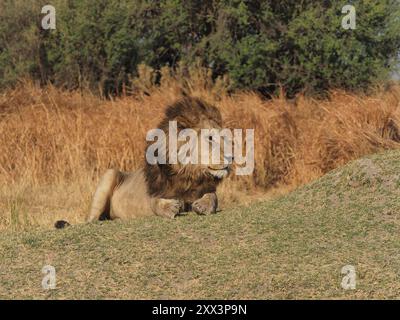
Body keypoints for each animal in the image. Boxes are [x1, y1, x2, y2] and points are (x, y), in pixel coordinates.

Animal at [55, 96, 233, 229]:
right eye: (210, 138)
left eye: (224, 137)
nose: (231, 157)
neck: (189, 172)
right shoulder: (153, 193)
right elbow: (154, 202)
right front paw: (170, 207)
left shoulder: (205, 188)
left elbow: (213, 197)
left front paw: (203, 205)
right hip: (109, 174)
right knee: (90, 220)